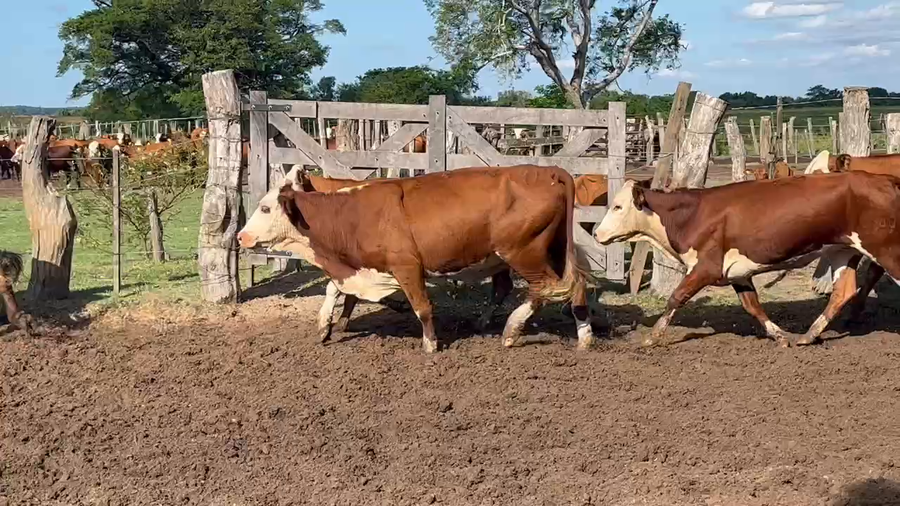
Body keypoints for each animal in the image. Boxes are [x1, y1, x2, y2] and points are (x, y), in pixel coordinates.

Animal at [238, 165, 595, 353]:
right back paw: (582, 337)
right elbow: (335, 291)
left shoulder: (407, 266)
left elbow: (422, 307)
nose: (241, 237)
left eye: (265, 207)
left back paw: (512, 330)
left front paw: (430, 344)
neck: (351, 211)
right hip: (546, 251)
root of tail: (549, 171)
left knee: (544, 290)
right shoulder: (358, 268)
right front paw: (326, 326)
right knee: (569, 286)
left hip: (525, 253)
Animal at [594, 172, 900, 348]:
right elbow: (753, 306)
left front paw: (651, 338)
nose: (597, 233)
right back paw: (808, 336)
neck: (691, 215)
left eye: (618, 206)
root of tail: (886, 180)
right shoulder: (738, 274)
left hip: (886, 249)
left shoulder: (705, 267)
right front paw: (780, 336)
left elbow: (676, 297)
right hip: (842, 251)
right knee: (843, 292)